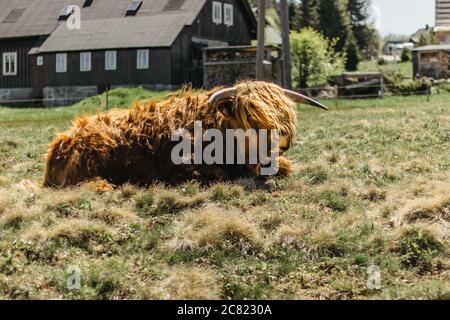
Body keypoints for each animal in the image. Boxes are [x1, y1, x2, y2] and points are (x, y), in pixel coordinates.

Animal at [44, 80, 326, 188]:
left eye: (284, 115)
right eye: (252, 116)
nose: (284, 142)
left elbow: (287, 167)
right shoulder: (179, 166)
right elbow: (219, 175)